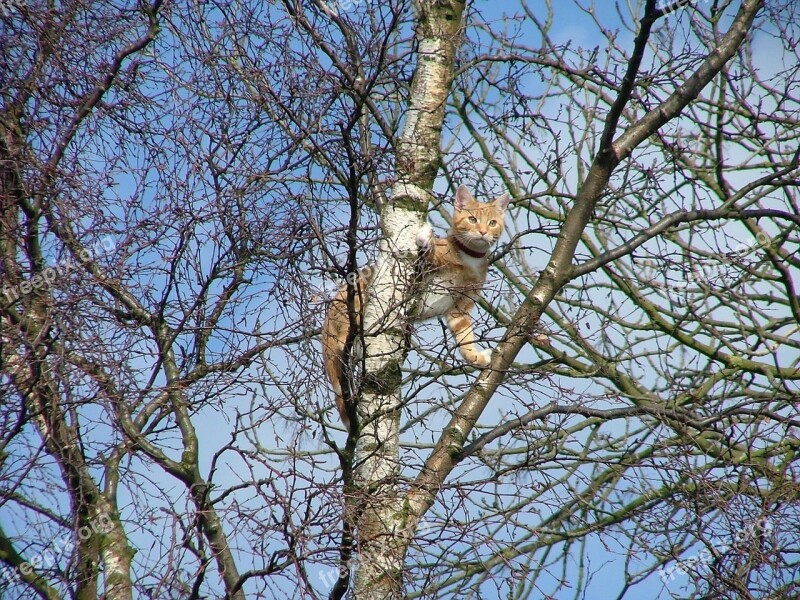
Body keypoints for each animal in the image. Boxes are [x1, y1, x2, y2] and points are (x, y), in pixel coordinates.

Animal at [322, 185, 510, 428]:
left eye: (493, 222)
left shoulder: (460, 308)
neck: (470, 259)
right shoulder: (423, 270)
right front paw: (426, 238)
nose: (483, 232)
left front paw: (475, 357)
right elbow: (427, 254)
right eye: (472, 219)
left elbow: (464, 336)